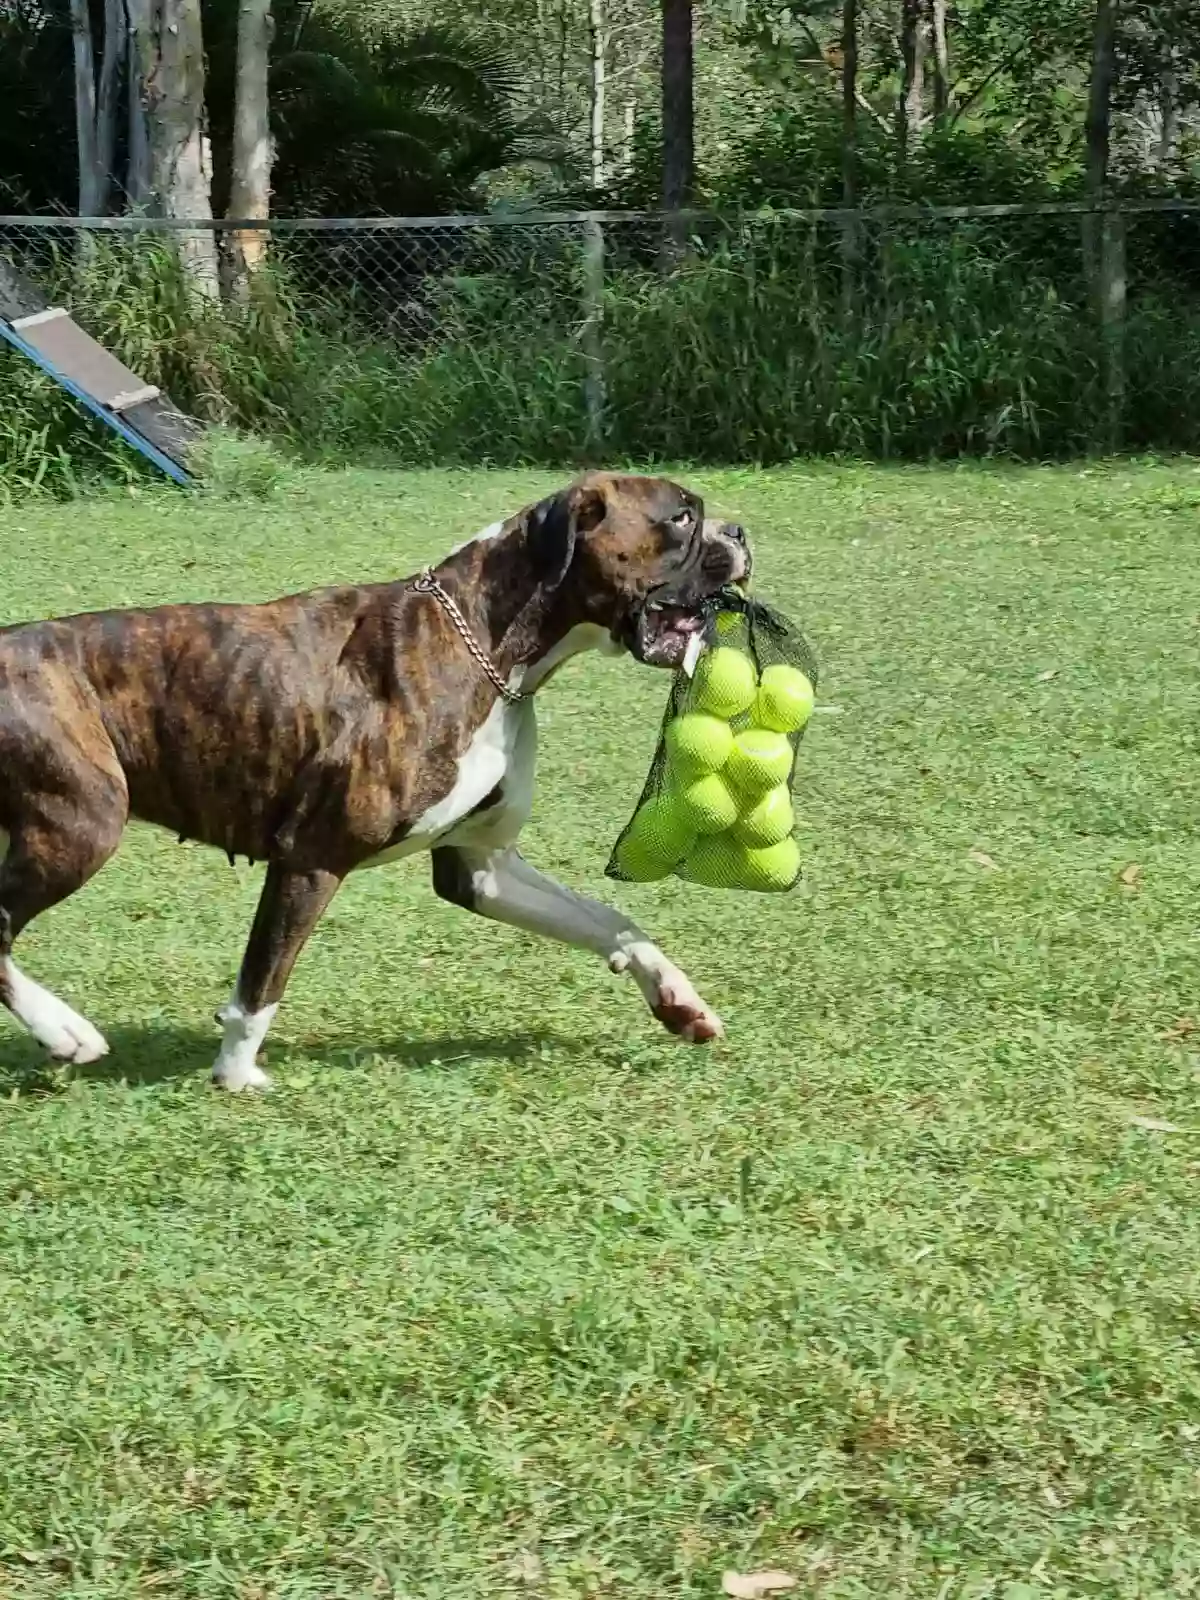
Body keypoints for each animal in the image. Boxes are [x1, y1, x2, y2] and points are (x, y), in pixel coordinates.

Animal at [0, 467, 752, 1081]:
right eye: (681, 518)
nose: (741, 531)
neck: (486, 642)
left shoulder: (481, 868)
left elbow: (610, 921)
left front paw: (676, 998)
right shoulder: (311, 858)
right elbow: (263, 979)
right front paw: (236, 1075)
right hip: (84, 825)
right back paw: (64, 1031)